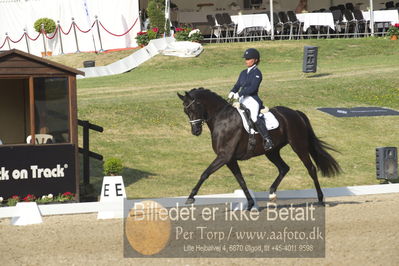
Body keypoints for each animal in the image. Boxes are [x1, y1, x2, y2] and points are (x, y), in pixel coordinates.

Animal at [180, 88, 342, 209]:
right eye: (186, 111)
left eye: (194, 107)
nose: (195, 131)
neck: (222, 118)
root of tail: (295, 112)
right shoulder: (230, 159)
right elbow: (241, 180)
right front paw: (250, 203)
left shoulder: (224, 156)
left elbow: (205, 174)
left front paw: (190, 197)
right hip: (271, 151)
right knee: (284, 168)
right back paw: (272, 193)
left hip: (298, 145)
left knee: (311, 169)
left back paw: (320, 199)